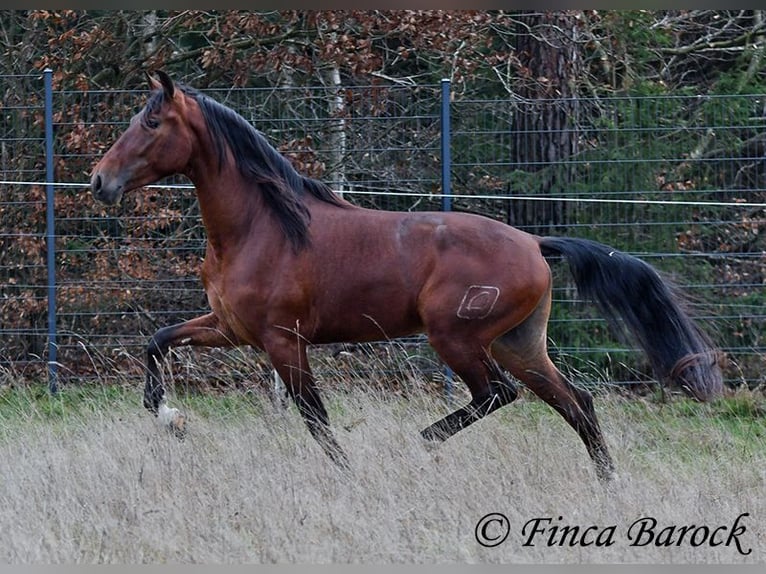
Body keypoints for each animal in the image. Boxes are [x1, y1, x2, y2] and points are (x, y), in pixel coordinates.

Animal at [90, 71, 724, 482]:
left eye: (152, 121)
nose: (99, 181)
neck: (261, 227)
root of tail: (533, 243)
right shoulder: (228, 328)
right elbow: (156, 343)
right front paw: (171, 418)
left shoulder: (283, 342)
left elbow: (316, 419)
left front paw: (347, 475)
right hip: (519, 343)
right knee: (576, 402)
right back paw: (608, 482)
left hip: (456, 338)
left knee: (499, 394)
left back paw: (422, 442)